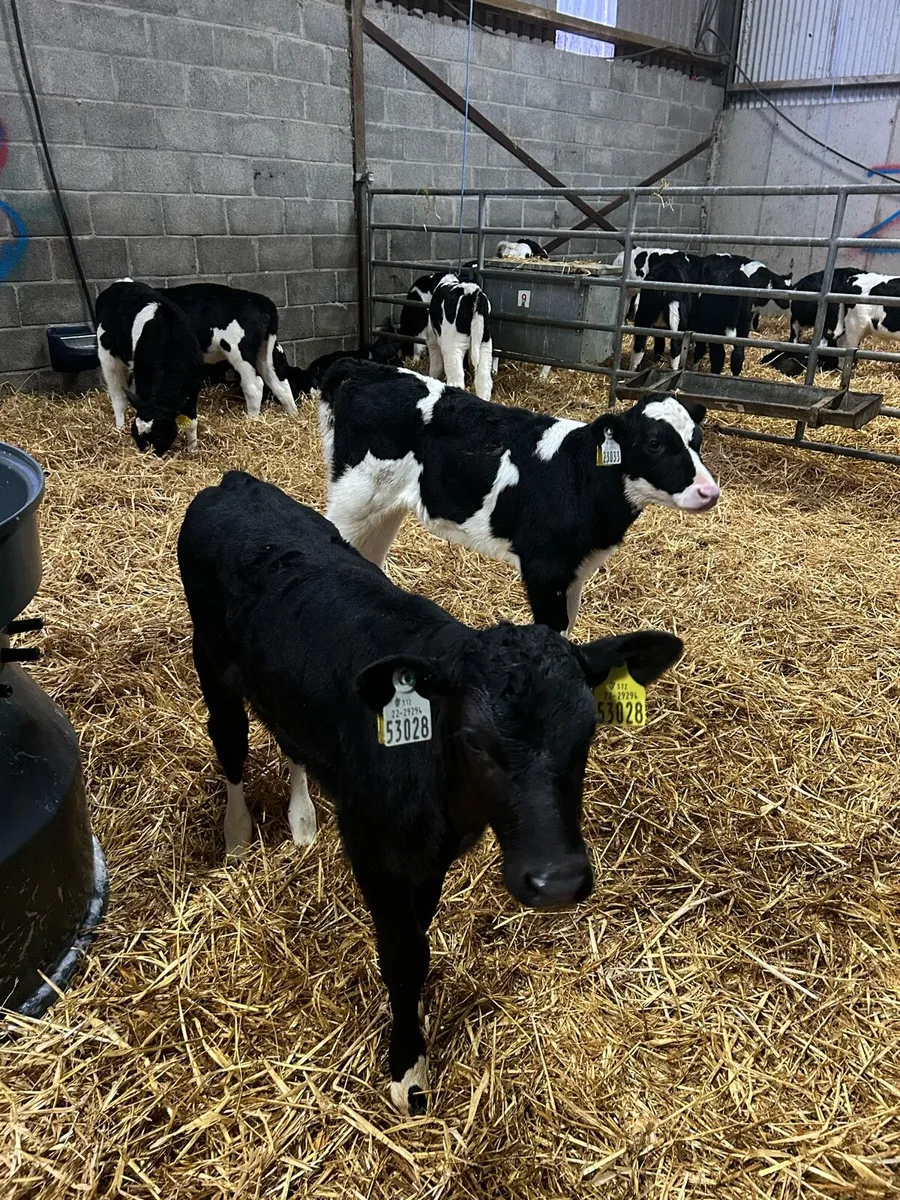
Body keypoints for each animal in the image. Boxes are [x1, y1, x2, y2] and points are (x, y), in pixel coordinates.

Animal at [96, 279, 203, 456]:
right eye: (135, 433)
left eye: (159, 436)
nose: (145, 454)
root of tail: (120, 283)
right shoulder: (144, 381)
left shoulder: (193, 388)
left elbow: (191, 422)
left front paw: (192, 448)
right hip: (108, 357)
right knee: (118, 396)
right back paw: (119, 427)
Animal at [162, 282, 297, 419]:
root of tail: (261, 299)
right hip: (265, 349)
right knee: (279, 383)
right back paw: (293, 416)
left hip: (239, 351)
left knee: (254, 386)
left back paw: (251, 421)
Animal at [178, 469, 684, 1115]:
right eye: (472, 739)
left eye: (589, 728)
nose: (557, 882)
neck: (448, 803)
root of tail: (234, 482)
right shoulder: (376, 851)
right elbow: (403, 956)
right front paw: (407, 1068)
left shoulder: (430, 858)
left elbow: (419, 939)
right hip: (212, 665)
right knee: (231, 744)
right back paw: (238, 836)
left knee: (291, 742)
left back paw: (302, 820)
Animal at [319, 361, 720, 636]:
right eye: (654, 443)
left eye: (697, 439)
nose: (709, 491)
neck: (579, 476)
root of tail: (368, 369)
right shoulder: (544, 568)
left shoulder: (574, 571)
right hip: (352, 499)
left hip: (383, 507)